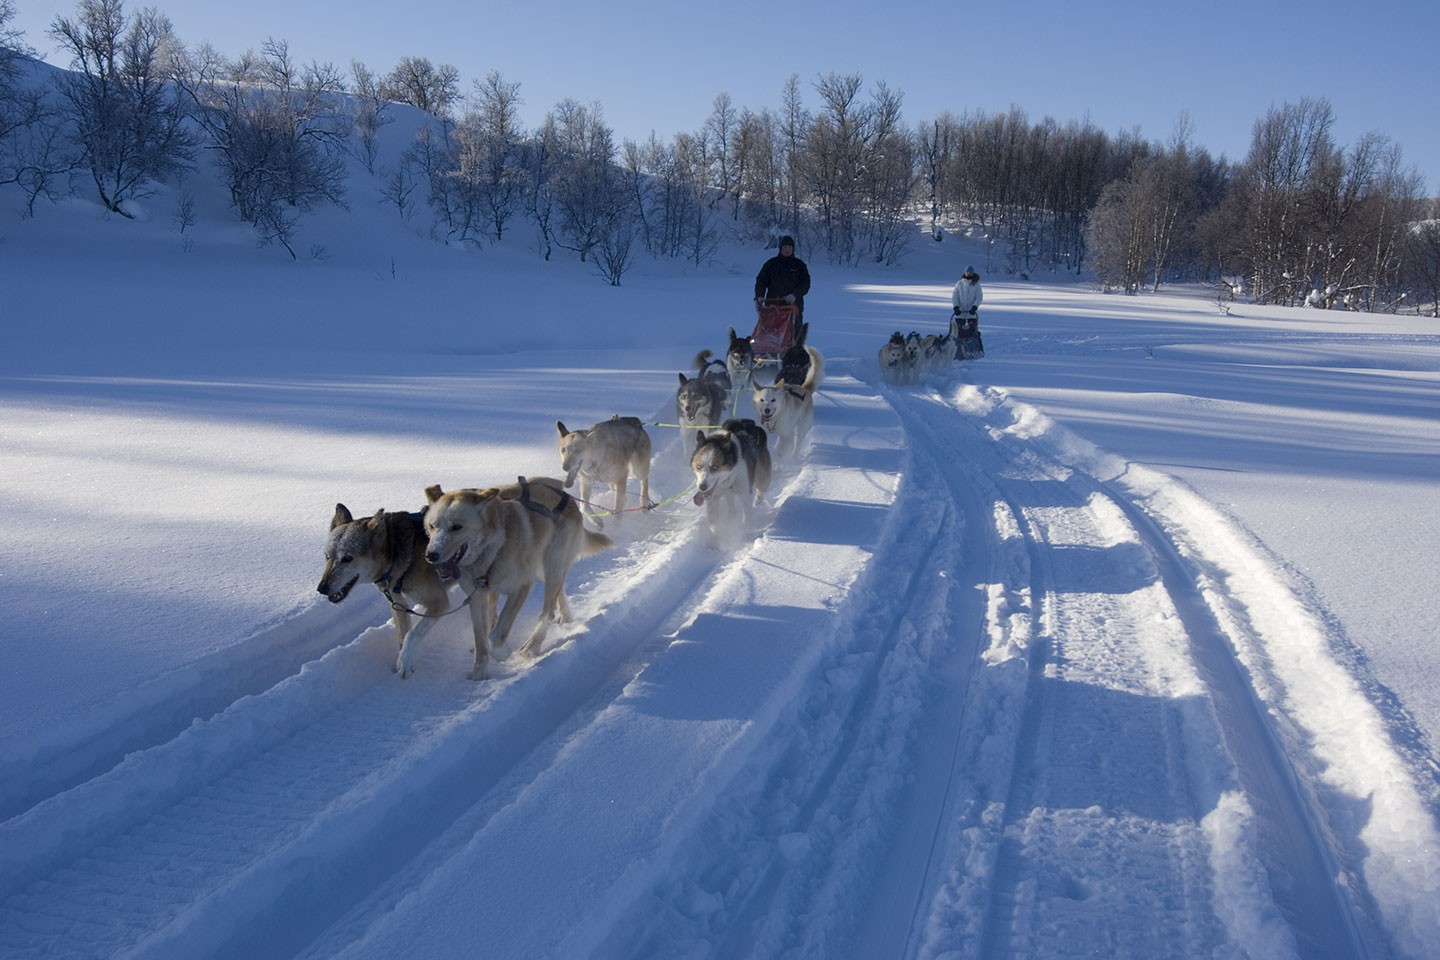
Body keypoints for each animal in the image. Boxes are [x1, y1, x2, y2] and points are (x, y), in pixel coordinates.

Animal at [420, 477, 613, 679]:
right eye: (432, 526)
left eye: (457, 527)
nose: (431, 555)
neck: (493, 549)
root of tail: (567, 497)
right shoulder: (477, 598)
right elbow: (480, 640)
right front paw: (479, 673)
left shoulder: (522, 586)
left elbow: (497, 634)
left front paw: (502, 652)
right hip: (543, 570)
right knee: (559, 590)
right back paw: (565, 616)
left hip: (551, 564)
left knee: (548, 609)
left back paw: (532, 647)